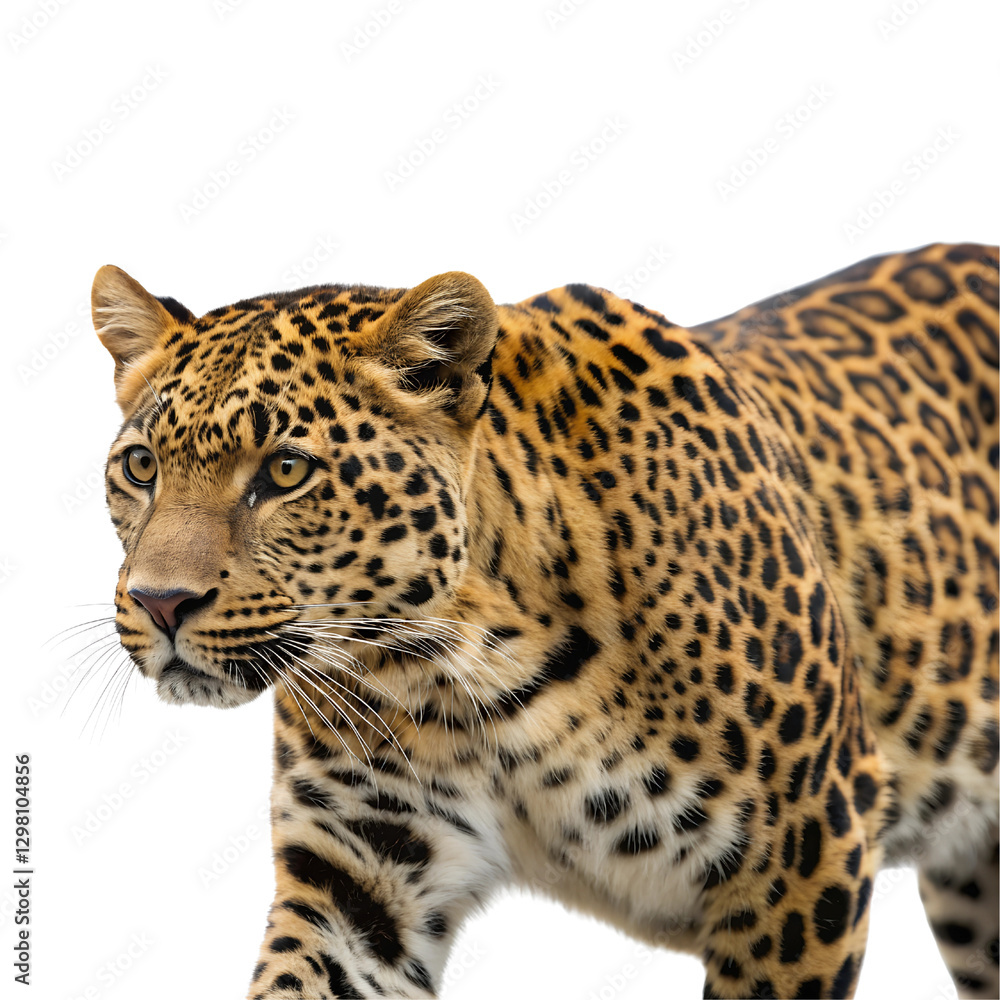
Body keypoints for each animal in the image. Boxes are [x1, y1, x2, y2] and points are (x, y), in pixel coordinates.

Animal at [91, 241, 998, 999]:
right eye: (141, 467)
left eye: (285, 471)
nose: (160, 601)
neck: (469, 671)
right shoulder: (362, 875)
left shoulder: (805, 849)